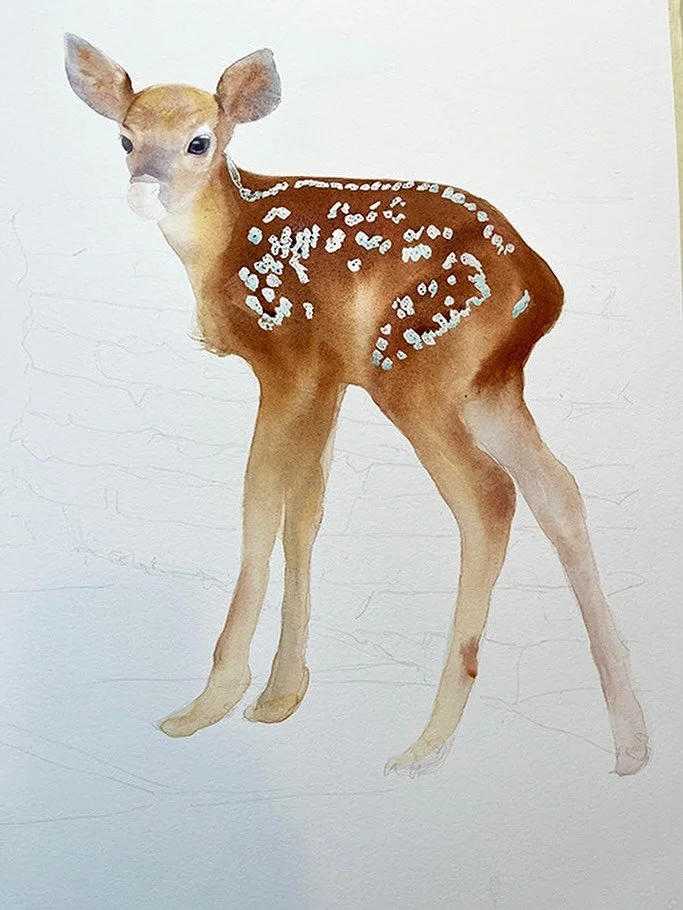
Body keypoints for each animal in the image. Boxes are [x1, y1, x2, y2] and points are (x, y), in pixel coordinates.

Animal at [63, 33, 650, 777]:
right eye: (124, 138)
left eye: (200, 141)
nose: (144, 188)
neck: (224, 243)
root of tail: (543, 286)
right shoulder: (327, 377)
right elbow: (305, 511)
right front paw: (280, 697)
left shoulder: (289, 359)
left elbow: (261, 504)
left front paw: (211, 702)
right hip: (488, 386)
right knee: (558, 490)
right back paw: (631, 745)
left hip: (412, 369)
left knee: (489, 495)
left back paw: (427, 743)